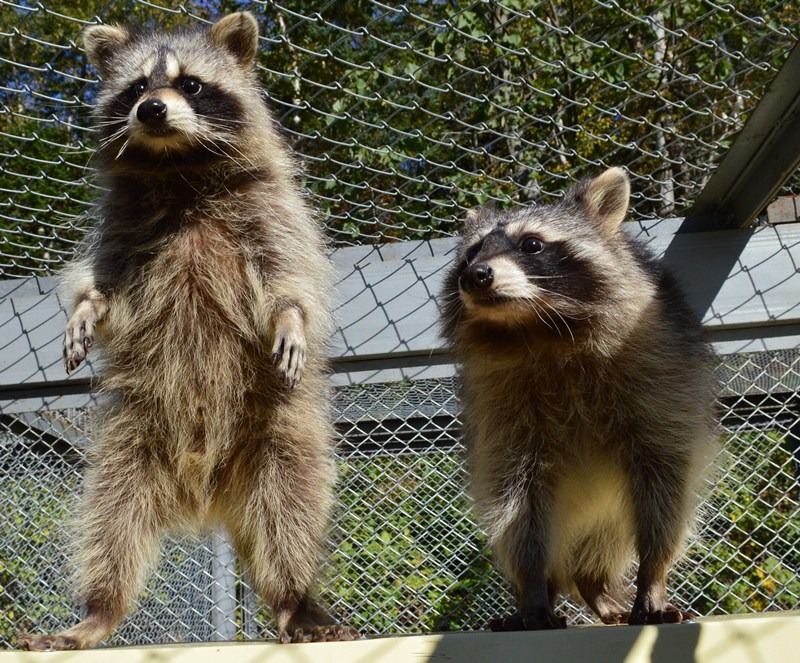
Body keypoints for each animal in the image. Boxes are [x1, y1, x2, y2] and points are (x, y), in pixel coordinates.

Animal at [18, 13, 356, 652]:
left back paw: (296, 602)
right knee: (110, 518)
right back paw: (98, 610)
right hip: (130, 438)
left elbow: (290, 278)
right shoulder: (122, 227)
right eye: (134, 88)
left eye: (190, 85)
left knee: (291, 510)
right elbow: (103, 284)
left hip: (281, 426)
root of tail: (209, 493)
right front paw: (85, 309)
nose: (151, 109)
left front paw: (290, 317)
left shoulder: (274, 213)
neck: (177, 166)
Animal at [440, 169, 720, 632]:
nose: (475, 275)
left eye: (531, 244)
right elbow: (518, 505)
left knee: (606, 538)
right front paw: (532, 588)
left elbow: (663, 488)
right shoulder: (501, 405)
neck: (537, 328)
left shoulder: (660, 375)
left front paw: (653, 576)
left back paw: (597, 585)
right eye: (471, 253)